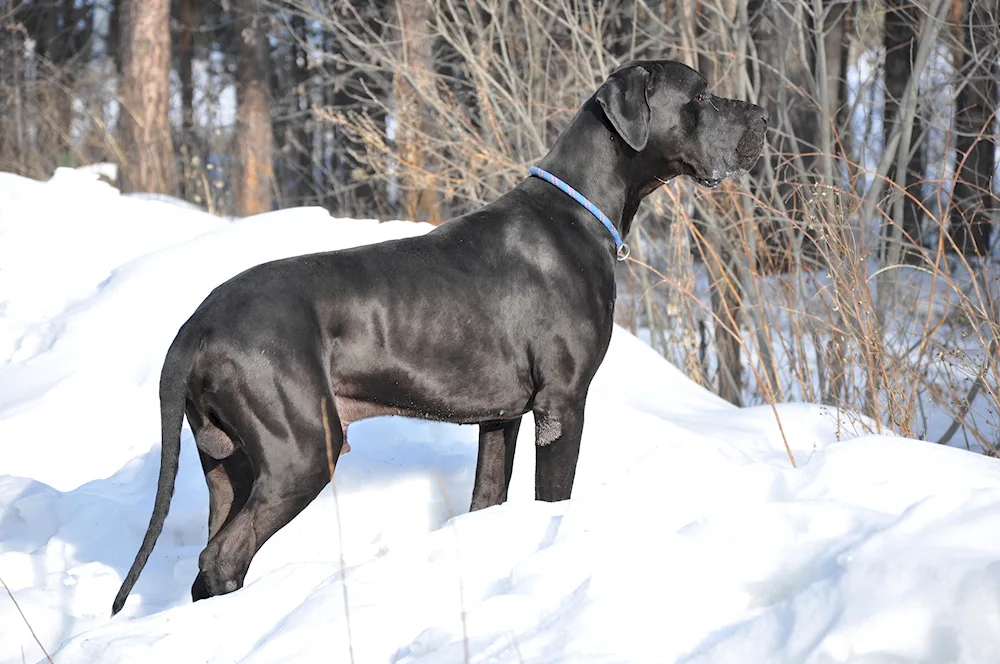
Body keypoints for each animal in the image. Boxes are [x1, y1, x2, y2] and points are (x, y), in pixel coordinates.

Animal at [111, 59, 764, 616]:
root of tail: (196, 325)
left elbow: (487, 497)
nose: (761, 116)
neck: (580, 211)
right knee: (221, 556)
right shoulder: (562, 405)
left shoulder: (502, 418)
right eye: (701, 96)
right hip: (300, 452)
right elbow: (554, 498)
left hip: (228, 460)